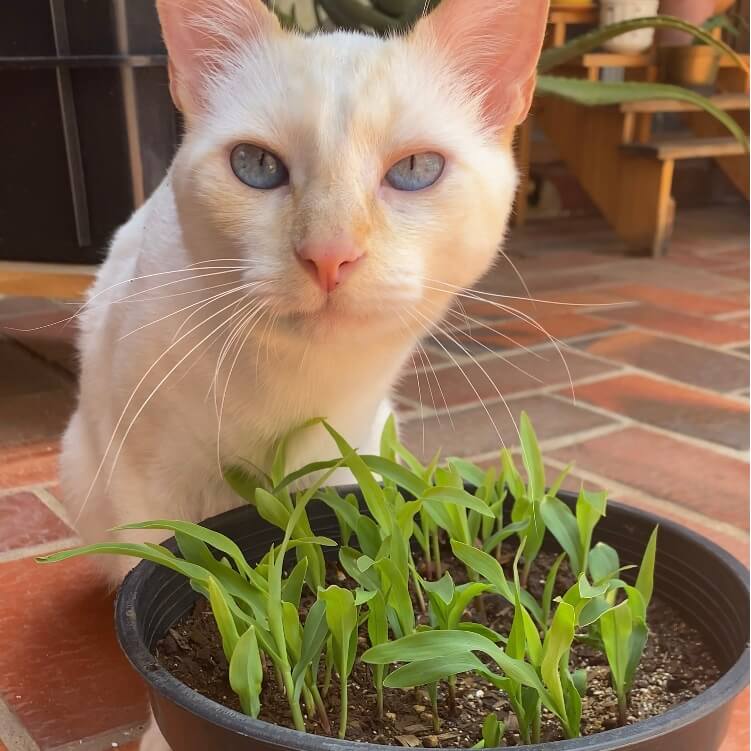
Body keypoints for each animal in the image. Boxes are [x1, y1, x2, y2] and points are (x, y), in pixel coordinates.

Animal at [58, 0, 548, 744]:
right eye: (256, 165)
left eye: (416, 170)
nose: (329, 254)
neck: (295, 381)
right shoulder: (146, 477)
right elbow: (161, 574)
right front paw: (157, 731)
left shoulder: (341, 465)